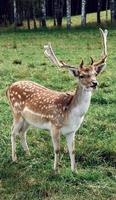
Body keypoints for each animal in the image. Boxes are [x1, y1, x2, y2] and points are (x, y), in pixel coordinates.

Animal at [6, 28, 108, 172]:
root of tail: (8, 88)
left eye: (95, 74)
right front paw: (56, 170)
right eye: (81, 75)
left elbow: (73, 151)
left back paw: (28, 154)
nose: (94, 83)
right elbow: (57, 150)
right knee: (13, 132)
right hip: (16, 113)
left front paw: (74, 171)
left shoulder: (72, 131)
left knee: (22, 132)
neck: (70, 115)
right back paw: (14, 158)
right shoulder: (54, 126)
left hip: (28, 120)